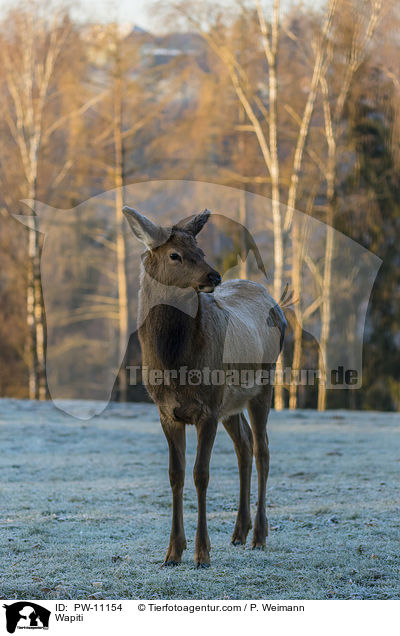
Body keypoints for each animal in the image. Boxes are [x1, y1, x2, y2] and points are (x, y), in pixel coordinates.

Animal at [123, 207, 286, 568]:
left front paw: (201, 553)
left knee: (263, 449)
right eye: (175, 254)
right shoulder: (166, 412)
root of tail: (278, 306)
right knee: (243, 446)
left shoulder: (208, 409)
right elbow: (176, 474)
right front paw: (172, 553)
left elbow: (201, 474)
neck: (176, 367)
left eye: (199, 248)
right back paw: (239, 532)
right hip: (231, 402)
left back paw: (259, 535)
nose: (214, 276)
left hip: (263, 385)